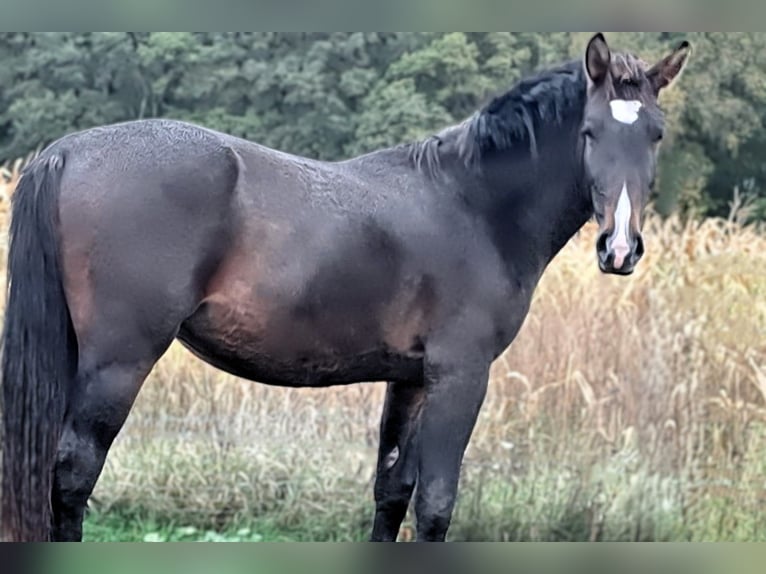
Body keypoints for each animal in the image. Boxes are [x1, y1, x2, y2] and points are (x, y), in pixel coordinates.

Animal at [1, 33, 690, 542]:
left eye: (655, 134)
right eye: (591, 132)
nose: (620, 248)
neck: (473, 203)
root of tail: (67, 150)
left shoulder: (411, 380)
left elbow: (391, 493)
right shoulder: (461, 375)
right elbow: (435, 503)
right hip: (119, 362)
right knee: (72, 475)